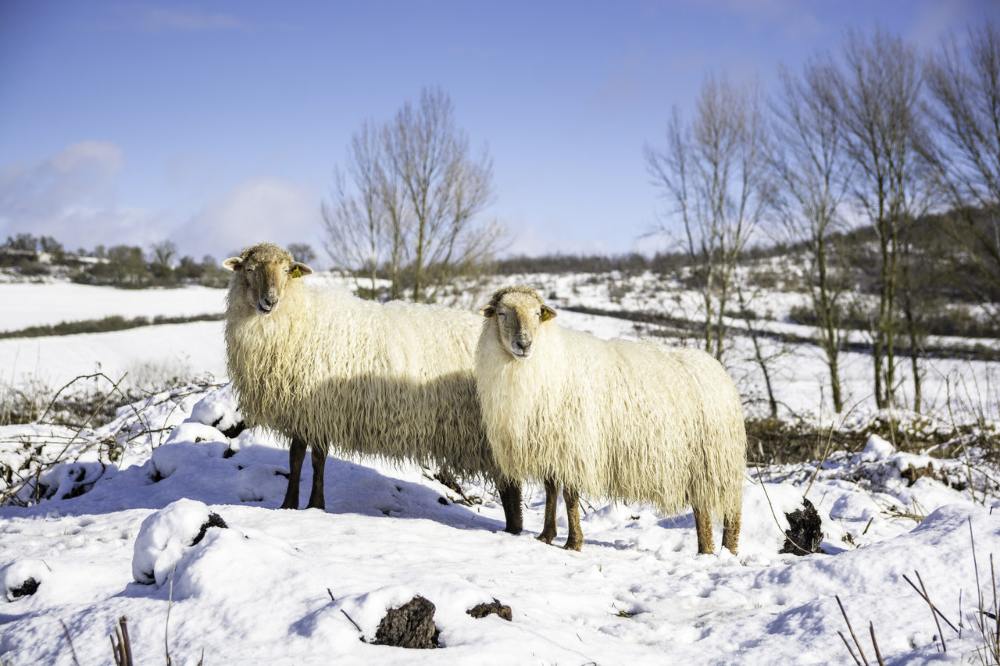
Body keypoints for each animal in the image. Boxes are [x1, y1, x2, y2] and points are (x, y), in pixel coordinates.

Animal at [223, 241, 524, 532]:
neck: (296, 318)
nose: (269, 301)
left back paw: (513, 529)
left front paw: (307, 505)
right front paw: (298, 505)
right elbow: (302, 458)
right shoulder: (310, 411)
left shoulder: (316, 407)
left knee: (510, 482)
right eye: (249, 269)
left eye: (286, 271)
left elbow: (310, 458)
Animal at [474, 286, 744, 548]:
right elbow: (551, 490)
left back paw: (721, 550)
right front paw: (546, 536)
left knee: (728, 512)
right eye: (501, 313)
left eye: (538, 314)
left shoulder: (576, 444)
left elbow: (570, 496)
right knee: (702, 512)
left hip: (716, 461)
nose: (523, 344)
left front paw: (573, 543)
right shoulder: (553, 445)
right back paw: (708, 551)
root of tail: (716, 369)